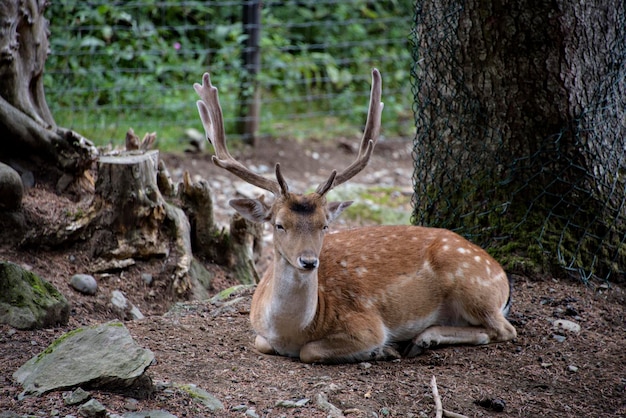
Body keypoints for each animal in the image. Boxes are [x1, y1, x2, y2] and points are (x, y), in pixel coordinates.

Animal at [193, 68, 516, 362]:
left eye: (324, 225)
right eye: (279, 225)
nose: (308, 261)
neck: (292, 333)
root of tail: (501, 274)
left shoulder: (366, 324)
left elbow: (311, 351)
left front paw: (381, 350)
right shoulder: (259, 332)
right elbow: (262, 343)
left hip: (472, 285)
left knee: (503, 329)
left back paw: (422, 339)